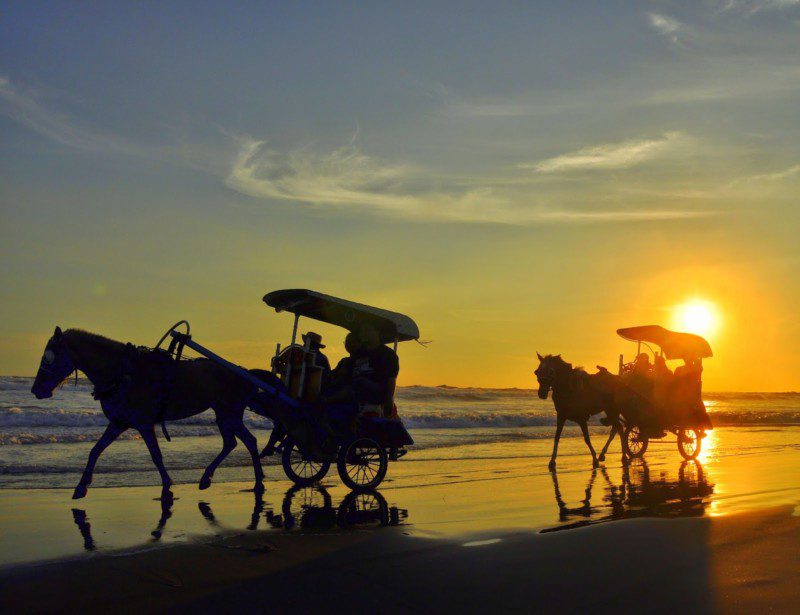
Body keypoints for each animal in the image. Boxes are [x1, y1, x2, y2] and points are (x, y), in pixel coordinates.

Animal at [31, 328, 278, 500]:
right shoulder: (119, 422)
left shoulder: (143, 423)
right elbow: (95, 450)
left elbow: (156, 455)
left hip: (229, 414)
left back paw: (248, 480)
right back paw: (227, 479)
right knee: (237, 442)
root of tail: (244, 372)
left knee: (242, 441)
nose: (36, 390)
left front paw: (167, 487)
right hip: (225, 414)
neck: (123, 373)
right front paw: (81, 486)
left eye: (47, 358)